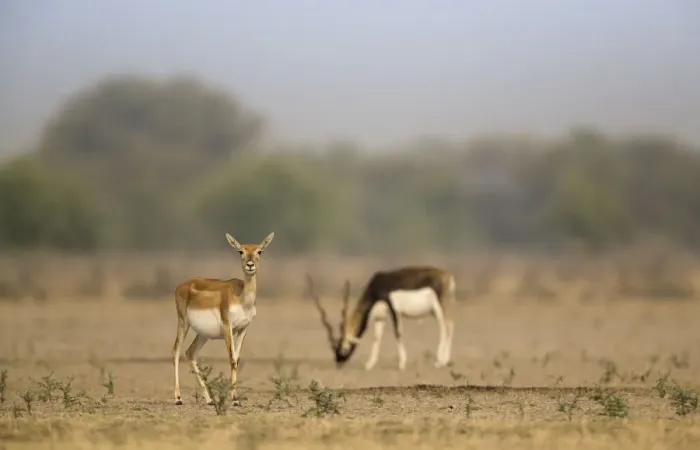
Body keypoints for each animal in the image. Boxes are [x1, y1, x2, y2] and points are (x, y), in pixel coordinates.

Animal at [172, 232, 275, 406]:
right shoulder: (228, 326)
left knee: (190, 353)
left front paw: (236, 399)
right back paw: (178, 398)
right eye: (240, 251)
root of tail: (181, 286)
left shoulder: (243, 329)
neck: (242, 298)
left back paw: (209, 400)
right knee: (176, 351)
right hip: (183, 323)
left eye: (259, 251)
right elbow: (232, 359)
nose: (250, 265)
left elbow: (237, 360)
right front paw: (234, 400)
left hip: (203, 335)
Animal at [307, 266, 456, 371]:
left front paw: (402, 364)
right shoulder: (380, 318)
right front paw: (369, 365)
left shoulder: (393, 308)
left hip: (439, 308)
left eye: (343, 349)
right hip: (437, 310)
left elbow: (397, 333)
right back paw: (444, 361)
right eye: (333, 348)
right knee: (450, 325)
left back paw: (440, 361)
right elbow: (377, 338)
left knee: (445, 326)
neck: (376, 287)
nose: (339, 363)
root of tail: (448, 276)